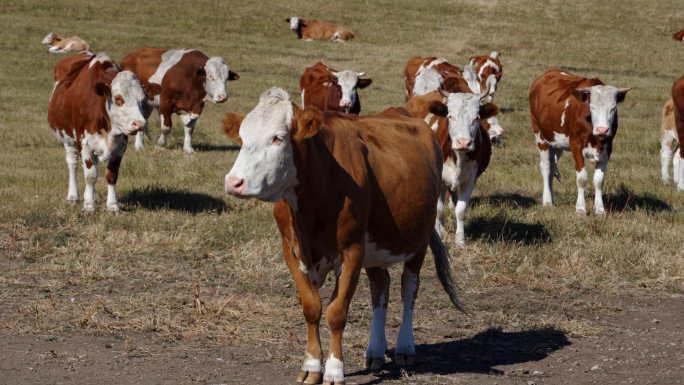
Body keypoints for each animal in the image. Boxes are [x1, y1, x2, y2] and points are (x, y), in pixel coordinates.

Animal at [47, 51, 161, 210]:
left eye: (143, 100)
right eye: (118, 98)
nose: (139, 124)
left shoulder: (120, 147)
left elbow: (111, 175)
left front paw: (112, 205)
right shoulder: (85, 143)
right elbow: (90, 176)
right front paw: (89, 206)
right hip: (68, 139)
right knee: (73, 164)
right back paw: (73, 196)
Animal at [224, 87, 464, 384]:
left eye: (278, 137)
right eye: (242, 137)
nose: (233, 183)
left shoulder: (351, 250)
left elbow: (336, 312)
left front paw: (335, 370)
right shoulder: (291, 250)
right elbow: (311, 308)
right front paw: (311, 366)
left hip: (418, 239)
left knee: (409, 289)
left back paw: (405, 347)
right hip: (376, 244)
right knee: (380, 288)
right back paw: (375, 351)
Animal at [406, 87, 496, 246]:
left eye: (476, 117)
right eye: (451, 116)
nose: (464, 143)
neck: (458, 158)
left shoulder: (470, 181)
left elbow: (461, 211)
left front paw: (460, 240)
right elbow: (438, 210)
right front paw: (439, 235)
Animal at [528, 68, 632, 214]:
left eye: (613, 108)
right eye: (592, 107)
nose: (602, 130)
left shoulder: (607, 149)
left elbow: (599, 180)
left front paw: (600, 209)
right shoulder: (576, 146)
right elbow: (582, 178)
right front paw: (581, 209)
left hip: (557, 143)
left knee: (553, 166)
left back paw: (552, 200)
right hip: (539, 135)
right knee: (546, 166)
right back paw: (547, 201)